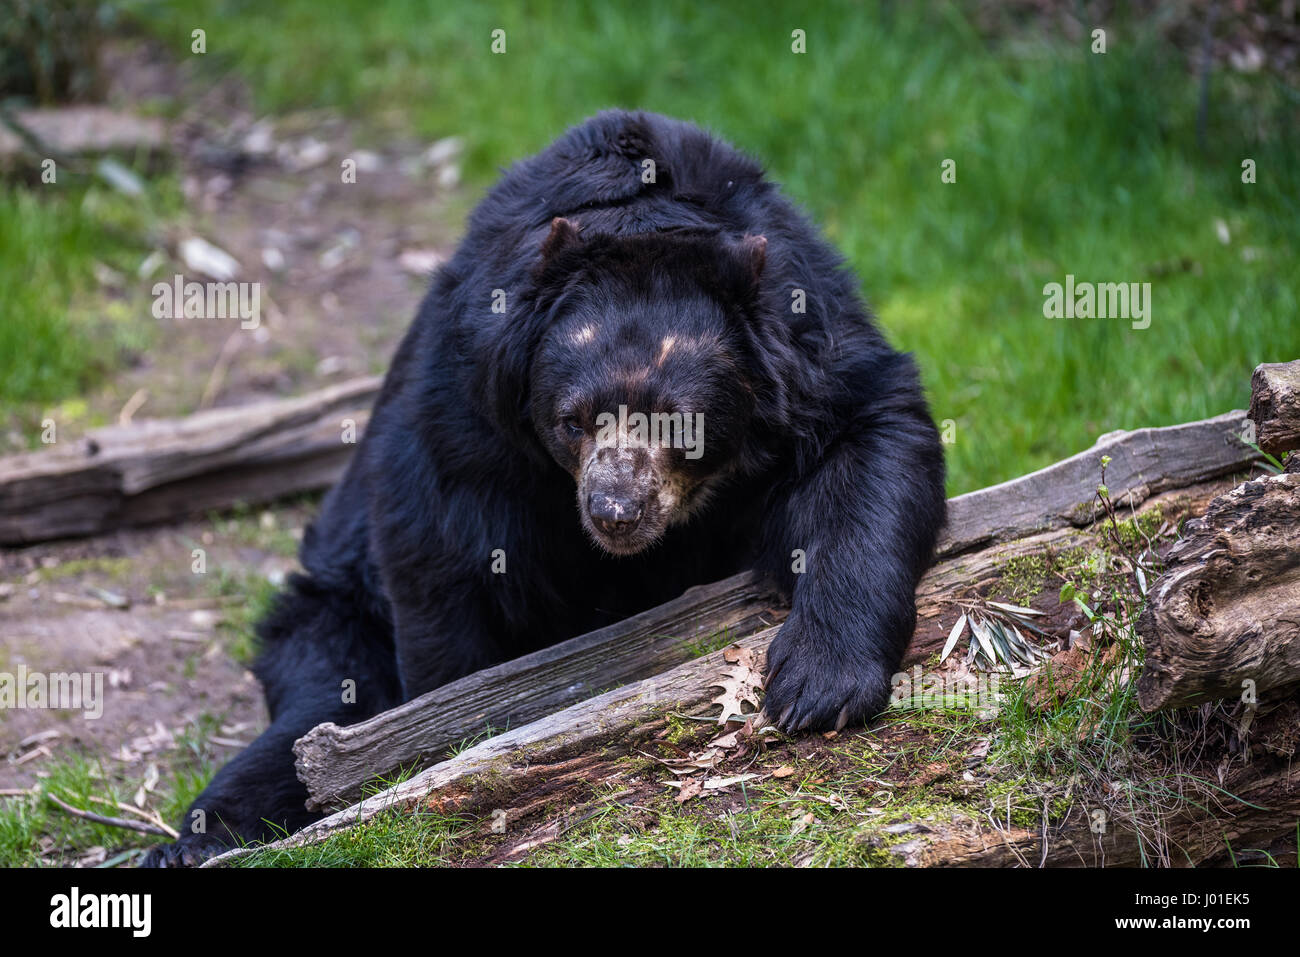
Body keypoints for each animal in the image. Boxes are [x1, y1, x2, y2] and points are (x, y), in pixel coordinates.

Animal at [144, 111, 946, 868]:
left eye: (683, 428)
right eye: (573, 420)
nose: (616, 509)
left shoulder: (810, 348)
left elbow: (867, 448)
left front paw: (817, 686)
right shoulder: (467, 398)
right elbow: (443, 555)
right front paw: (446, 735)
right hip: (332, 606)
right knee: (311, 705)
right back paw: (195, 839)